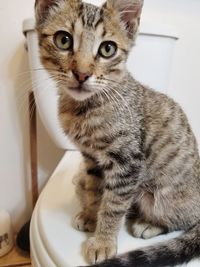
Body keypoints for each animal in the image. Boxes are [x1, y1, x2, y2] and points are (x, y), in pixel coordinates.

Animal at [34, 0, 200, 267]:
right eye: (63, 40)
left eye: (107, 49)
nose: (82, 74)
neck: (86, 108)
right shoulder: (91, 158)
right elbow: (94, 189)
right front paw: (91, 215)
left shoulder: (128, 162)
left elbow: (113, 204)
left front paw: (103, 241)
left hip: (162, 198)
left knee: (186, 220)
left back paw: (149, 225)